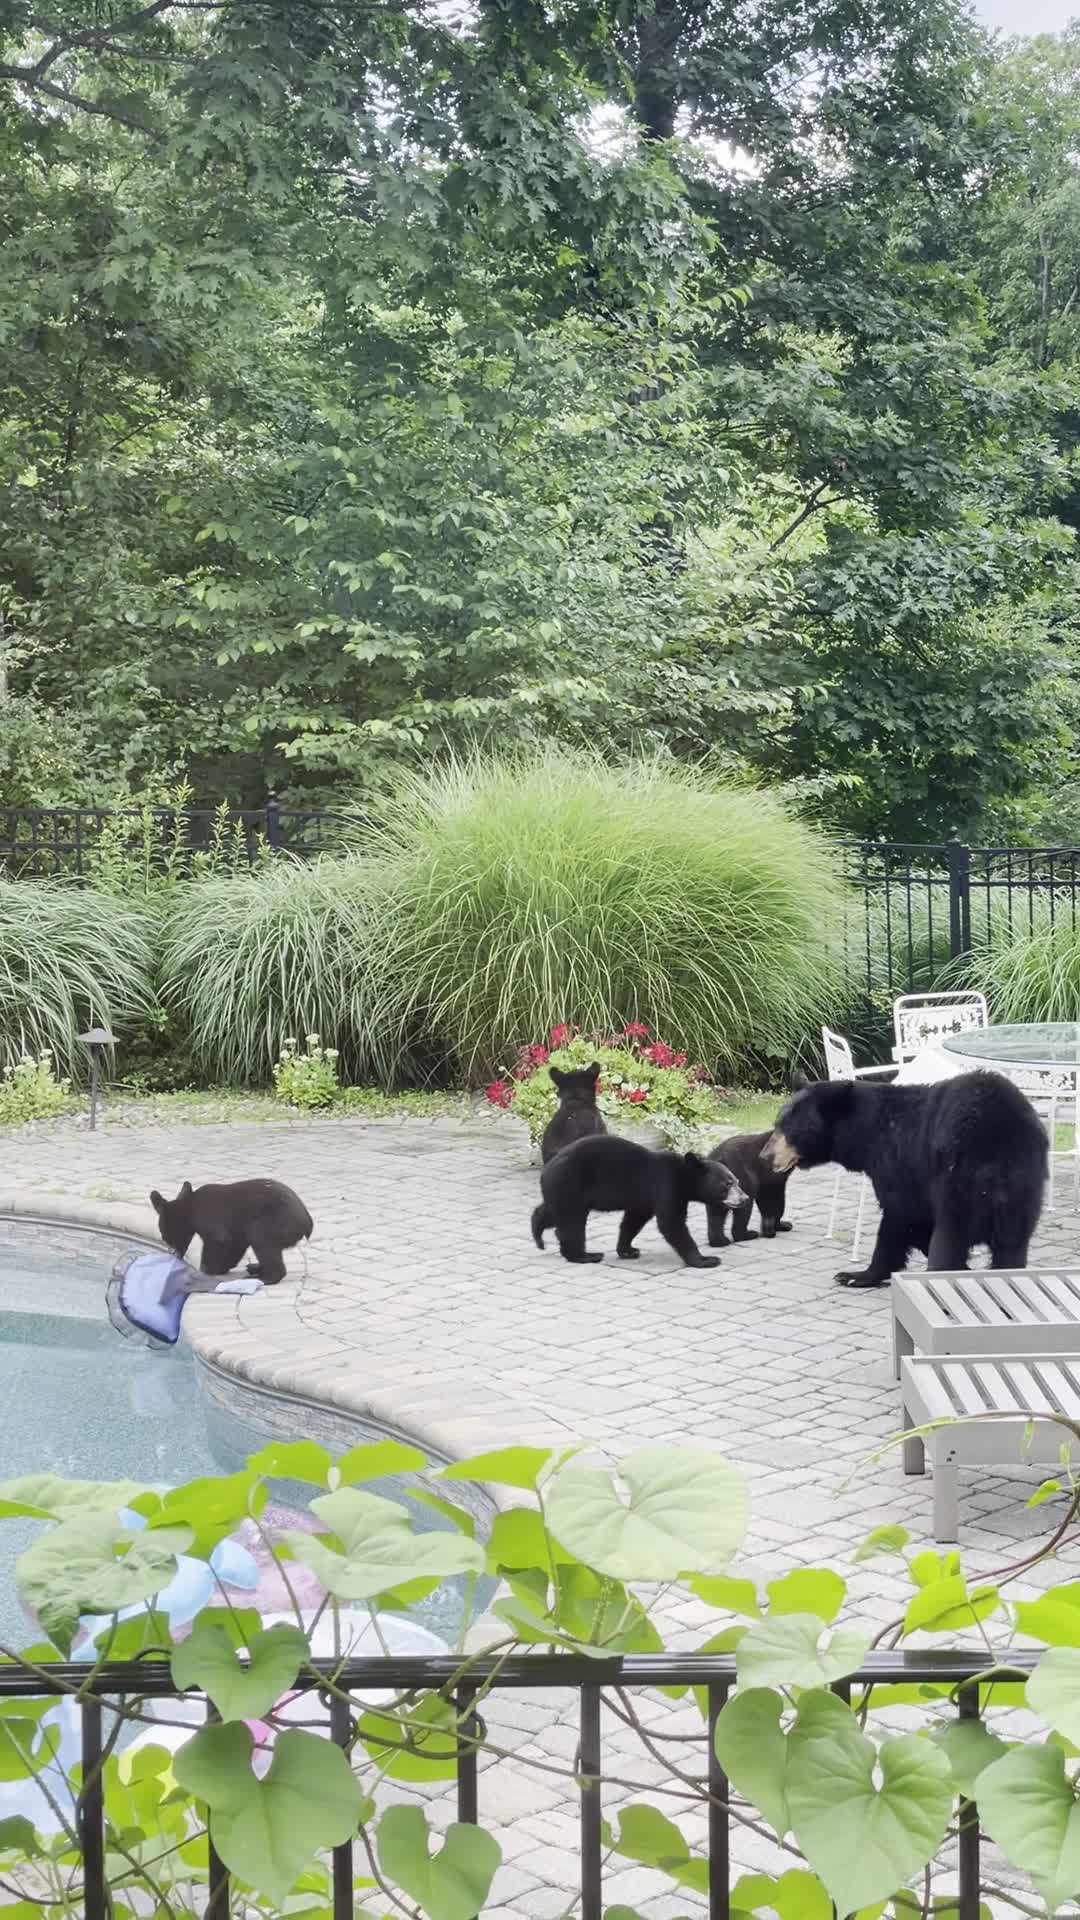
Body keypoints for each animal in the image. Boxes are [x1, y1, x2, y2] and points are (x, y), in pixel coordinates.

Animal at [149, 1178, 314, 1285]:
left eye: (164, 1236)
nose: (173, 1253)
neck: (188, 1208)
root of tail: (307, 1222)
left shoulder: (209, 1220)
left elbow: (219, 1241)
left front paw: (206, 1269)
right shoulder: (237, 1229)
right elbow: (235, 1245)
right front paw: (221, 1267)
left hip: (274, 1221)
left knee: (262, 1241)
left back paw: (263, 1278)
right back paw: (255, 1267)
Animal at [530, 1132, 747, 1267]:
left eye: (737, 1181)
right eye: (728, 1183)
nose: (744, 1198)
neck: (684, 1176)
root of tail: (547, 1169)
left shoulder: (644, 1198)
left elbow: (633, 1220)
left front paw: (627, 1250)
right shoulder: (666, 1186)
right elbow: (671, 1223)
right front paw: (705, 1260)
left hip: (562, 1190)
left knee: (553, 1212)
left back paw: (538, 1234)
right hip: (570, 1183)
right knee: (571, 1222)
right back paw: (584, 1256)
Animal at [765, 1070, 1046, 1287]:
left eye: (790, 1130)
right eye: (777, 1123)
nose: (765, 1155)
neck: (869, 1131)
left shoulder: (899, 1167)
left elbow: (900, 1218)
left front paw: (857, 1275)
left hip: (957, 1184)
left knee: (949, 1237)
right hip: (1024, 1191)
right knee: (1012, 1246)